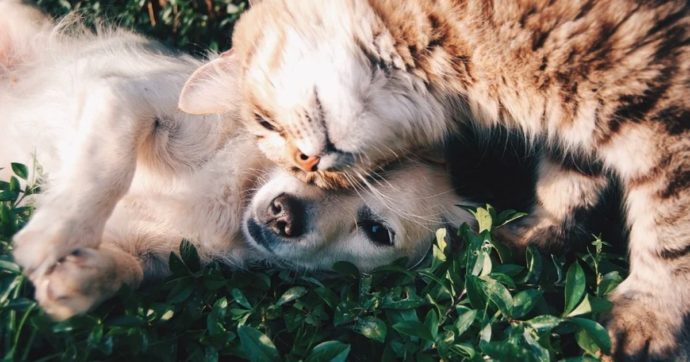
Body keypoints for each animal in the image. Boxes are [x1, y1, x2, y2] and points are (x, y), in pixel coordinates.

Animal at [0, 2, 470, 320]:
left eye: (377, 231)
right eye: (305, 162)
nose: (284, 215)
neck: (235, 196)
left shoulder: (153, 253)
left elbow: (129, 271)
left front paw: (79, 279)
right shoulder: (125, 97)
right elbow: (107, 166)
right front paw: (55, 234)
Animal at [180, 0, 688, 360]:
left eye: (265, 123)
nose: (308, 164)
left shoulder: (664, 112)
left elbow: (670, 230)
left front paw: (649, 317)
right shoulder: (574, 127)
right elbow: (567, 183)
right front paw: (531, 237)